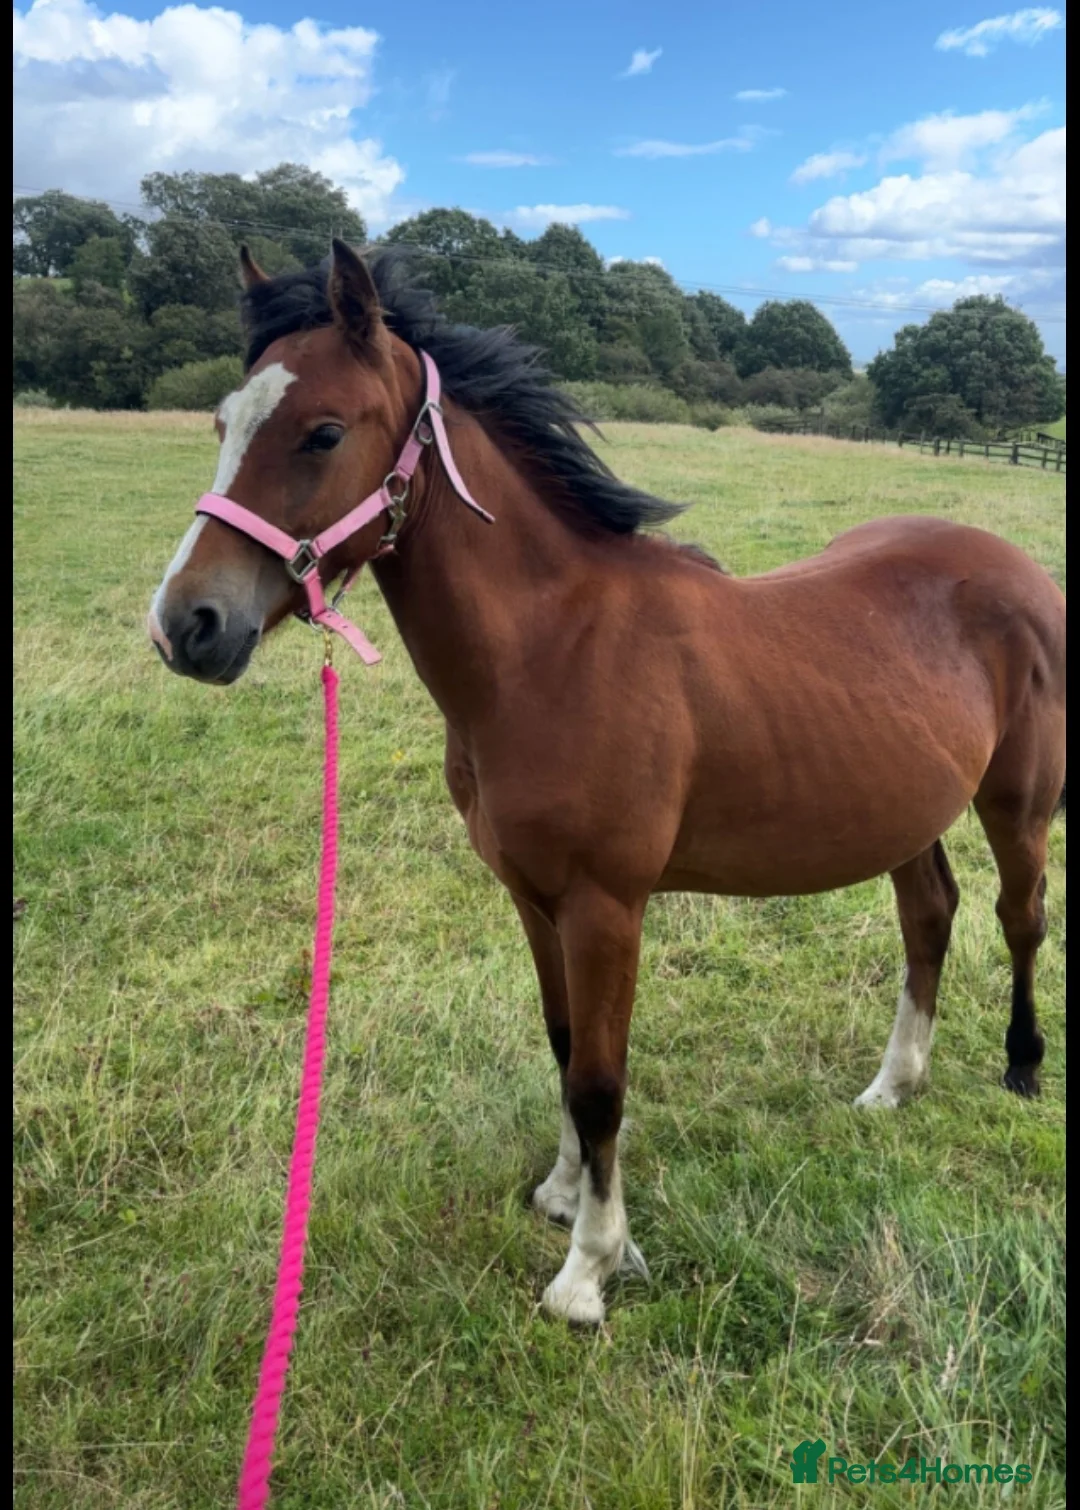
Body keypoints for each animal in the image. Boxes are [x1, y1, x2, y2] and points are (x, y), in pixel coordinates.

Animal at [148, 241, 1066, 1325]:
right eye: (223, 423)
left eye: (323, 432)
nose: (188, 625)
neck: (554, 650)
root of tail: (1018, 568)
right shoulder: (533, 897)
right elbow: (561, 1041)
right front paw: (562, 1192)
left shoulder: (605, 907)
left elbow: (599, 1077)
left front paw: (591, 1266)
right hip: (902, 812)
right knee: (928, 915)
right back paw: (895, 1085)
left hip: (1018, 804)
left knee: (1019, 917)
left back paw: (1020, 1065)